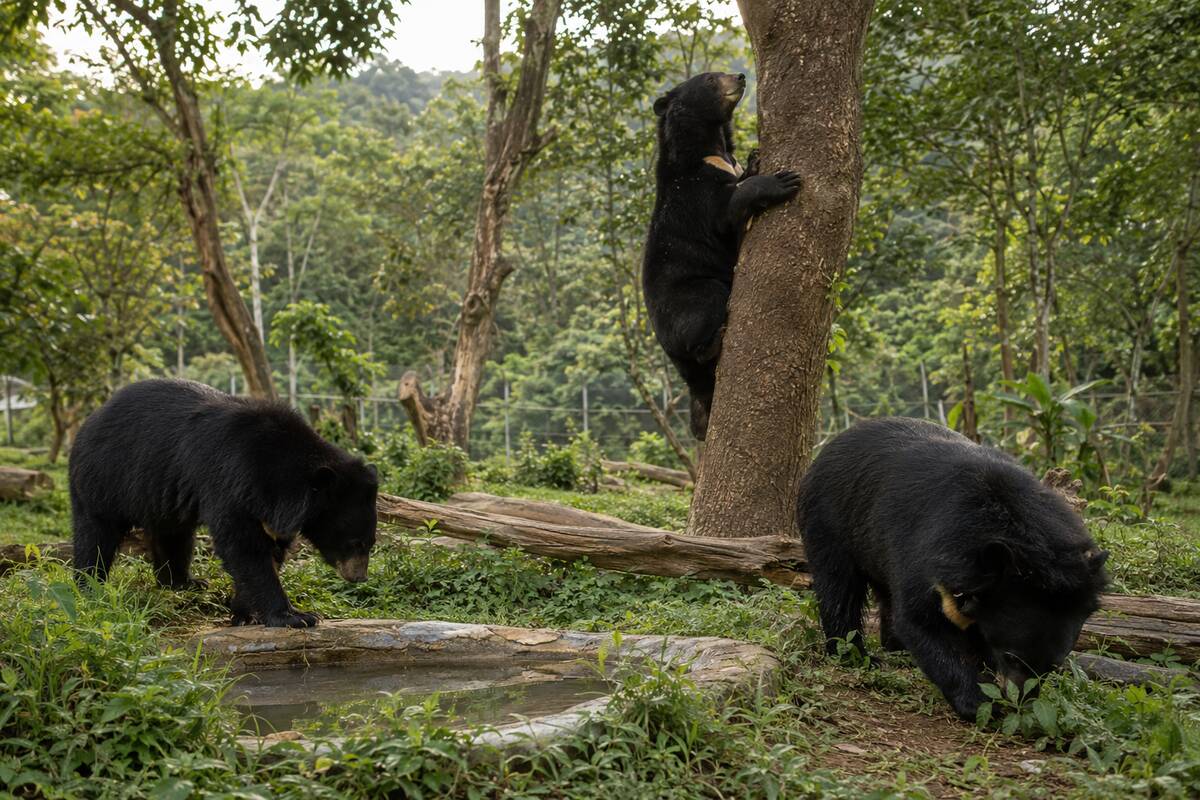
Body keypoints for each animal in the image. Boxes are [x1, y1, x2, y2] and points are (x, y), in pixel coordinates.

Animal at [69, 378, 378, 628]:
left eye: (369, 543)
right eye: (355, 543)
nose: (359, 577)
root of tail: (89, 421)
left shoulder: (270, 508)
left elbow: (268, 551)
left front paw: (243, 613)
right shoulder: (230, 480)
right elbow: (242, 546)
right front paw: (295, 617)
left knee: (174, 536)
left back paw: (184, 583)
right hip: (105, 477)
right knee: (95, 534)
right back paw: (89, 586)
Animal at [643, 71, 802, 440]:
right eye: (710, 79)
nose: (741, 76)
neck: (710, 147)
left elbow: (742, 174)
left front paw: (756, 159)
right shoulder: (694, 191)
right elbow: (727, 208)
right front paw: (781, 181)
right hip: (687, 304)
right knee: (707, 306)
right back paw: (714, 342)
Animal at [797, 417, 1108, 720]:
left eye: (1052, 666)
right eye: (1011, 656)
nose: (1021, 701)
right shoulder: (928, 547)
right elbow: (922, 621)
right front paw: (979, 702)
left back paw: (895, 647)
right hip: (831, 518)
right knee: (839, 587)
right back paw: (854, 653)